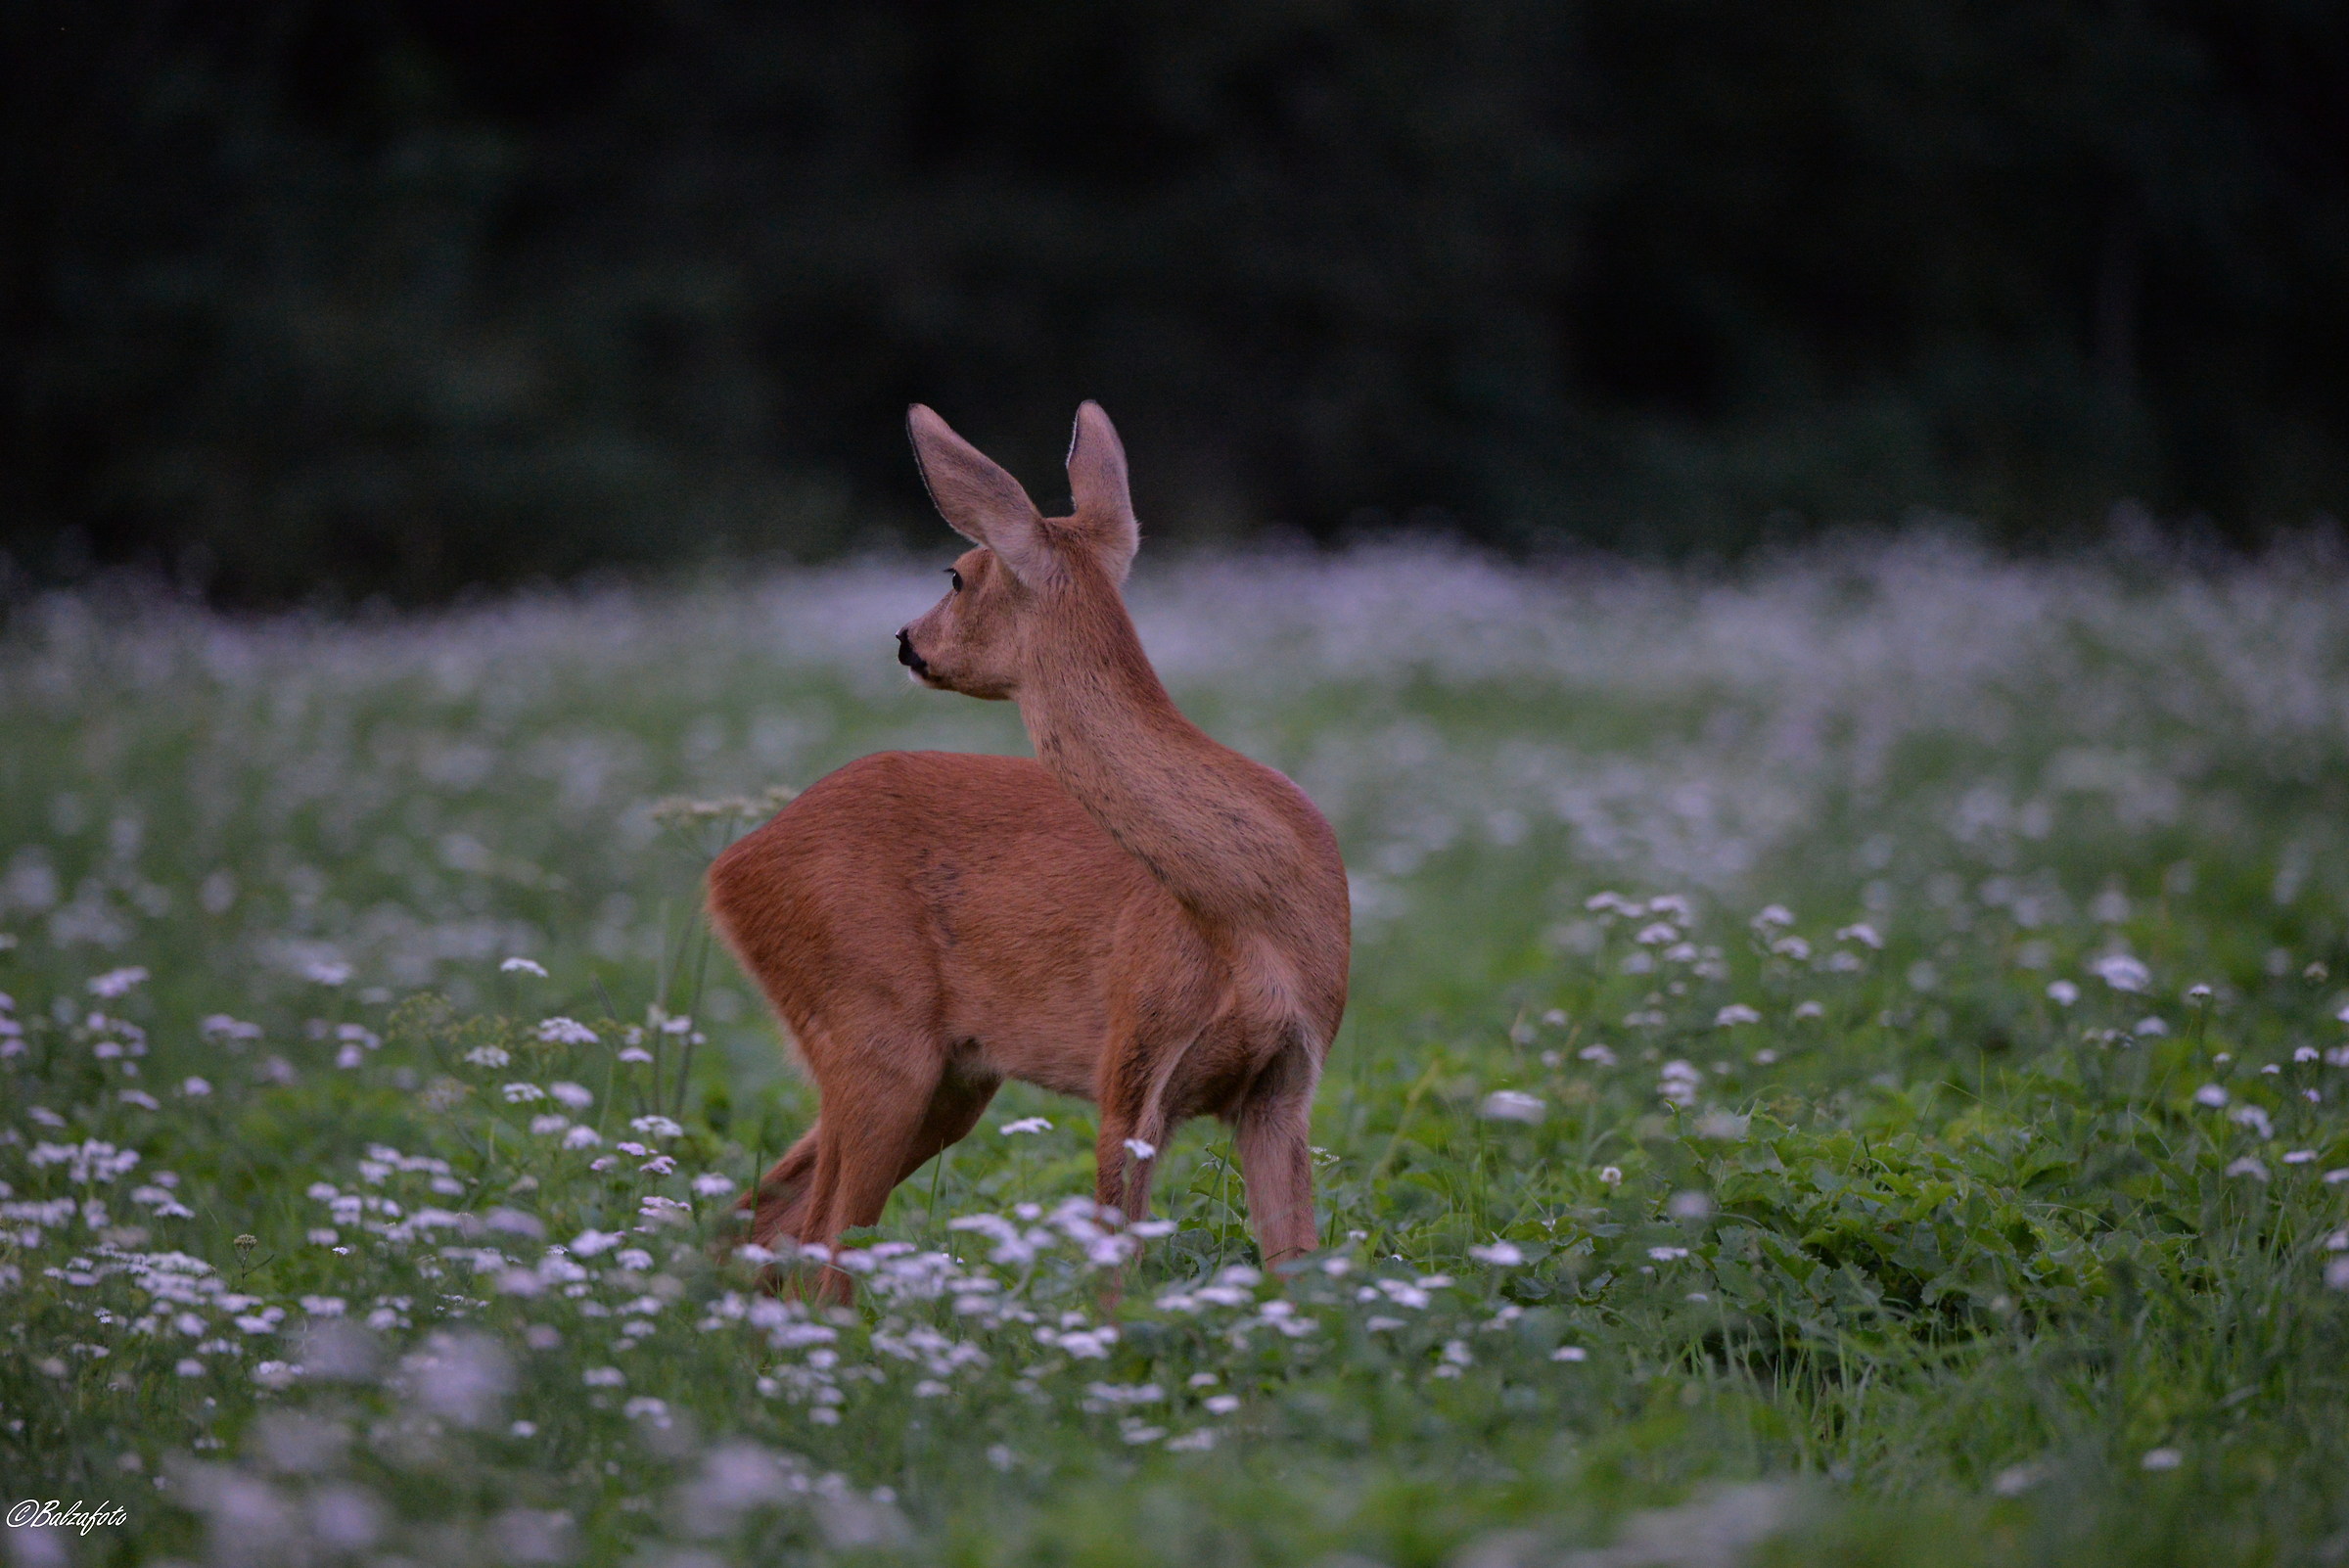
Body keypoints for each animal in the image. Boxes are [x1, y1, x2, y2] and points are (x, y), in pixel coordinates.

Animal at [706, 401, 1350, 1296]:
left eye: (956, 574)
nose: (904, 638)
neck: (1250, 914)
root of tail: (729, 867)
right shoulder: (1132, 1060)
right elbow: (1114, 1278)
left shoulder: (1286, 1082)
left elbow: (1297, 1272)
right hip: (869, 1028)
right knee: (818, 1243)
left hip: (948, 1075)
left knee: (772, 1226)